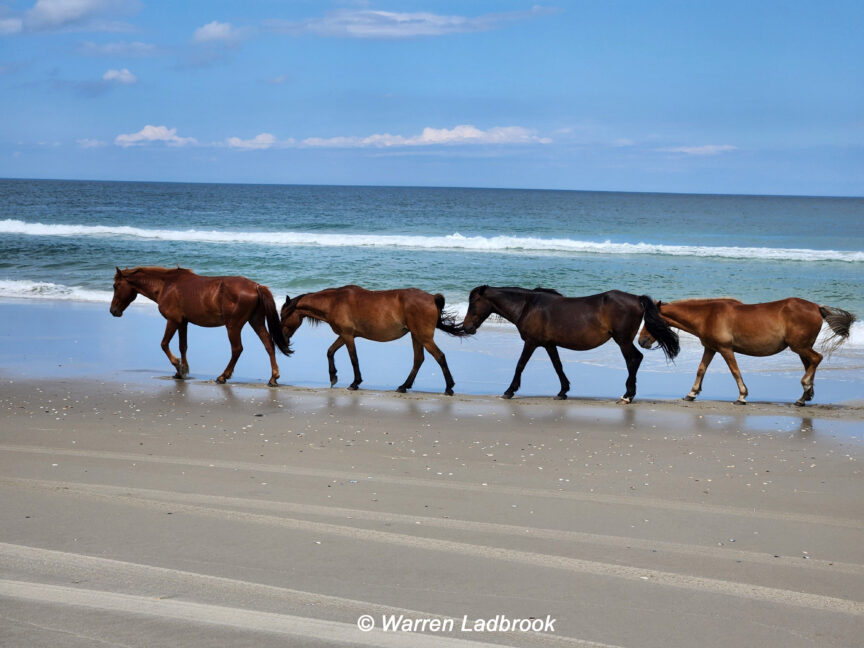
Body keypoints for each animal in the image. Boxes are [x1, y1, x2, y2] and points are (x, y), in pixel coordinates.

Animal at [110, 266, 291, 386]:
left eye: (116, 286)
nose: (113, 311)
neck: (166, 285)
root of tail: (256, 286)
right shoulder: (183, 322)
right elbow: (183, 346)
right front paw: (181, 371)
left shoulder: (173, 320)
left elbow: (164, 344)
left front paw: (178, 366)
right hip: (256, 321)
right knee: (268, 344)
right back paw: (273, 377)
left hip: (233, 326)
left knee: (237, 349)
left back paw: (223, 376)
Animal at [280, 285, 467, 394]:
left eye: (283, 315)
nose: (282, 337)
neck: (334, 302)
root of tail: (432, 298)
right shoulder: (344, 335)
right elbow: (330, 351)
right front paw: (333, 377)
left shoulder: (348, 336)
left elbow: (353, 359)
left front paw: (355, 383)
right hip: (416, 336)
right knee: (418, 360)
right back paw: (403, 386)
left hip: (423, 337)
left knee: (439, 357)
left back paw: (449, 387)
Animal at [461, 286, 680, 403]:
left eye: (473, 304)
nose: (467, 327)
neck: (527, 307)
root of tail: (636, 298)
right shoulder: (549, 345)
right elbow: (558, 366)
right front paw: (562, 392)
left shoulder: (531, 343)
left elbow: (520, 365)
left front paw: (509, 391)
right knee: (635, 360)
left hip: (623, 340)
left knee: (633, 360)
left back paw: (627, 395)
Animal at [637, 298, 856, 406]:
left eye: (650, 321)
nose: (641, 341)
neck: (707, 315)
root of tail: (817, 307)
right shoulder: (710, 348)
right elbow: (701, 369)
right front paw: (691, 394)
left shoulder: (725, 349)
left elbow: (735, 372)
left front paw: (742, 396)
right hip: (802, 348)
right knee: (811, 363)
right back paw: (804, 397)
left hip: (800, 346)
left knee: (816, 359)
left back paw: (804, 390)